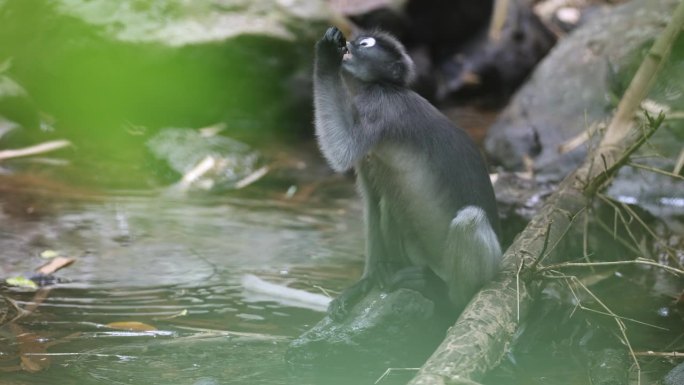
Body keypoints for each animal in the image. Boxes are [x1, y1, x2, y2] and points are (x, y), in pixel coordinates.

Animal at [316, 27, 502, 320]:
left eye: (364, 43)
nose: (349, 42)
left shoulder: (379, 105)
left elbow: (341, 150)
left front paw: (325, 54)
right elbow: (371, 201)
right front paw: (363, 283)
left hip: (486, 265)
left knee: (470, 220)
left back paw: (444, 296)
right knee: (387, 202)